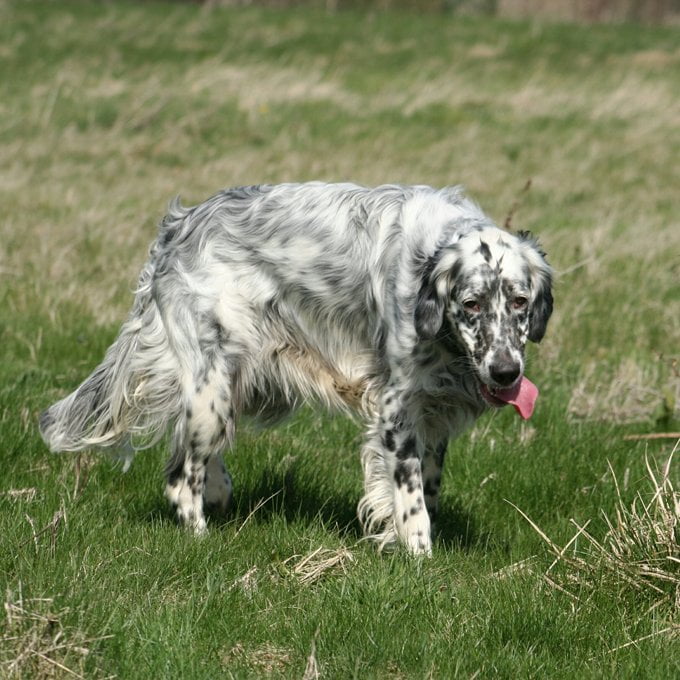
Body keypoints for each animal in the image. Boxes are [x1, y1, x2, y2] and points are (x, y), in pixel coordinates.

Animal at [39, 183, 552, 556]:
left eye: (519, 300)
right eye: (471, 303)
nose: (506, 373)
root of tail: (178, 225)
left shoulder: (434, 412)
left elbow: (428, 485)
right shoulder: (396, 410)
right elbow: (410, 502)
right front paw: (420, 558)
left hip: (229, 384)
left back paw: (220, 491)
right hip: (211, 390)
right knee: (180, 477)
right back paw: (202, 539)